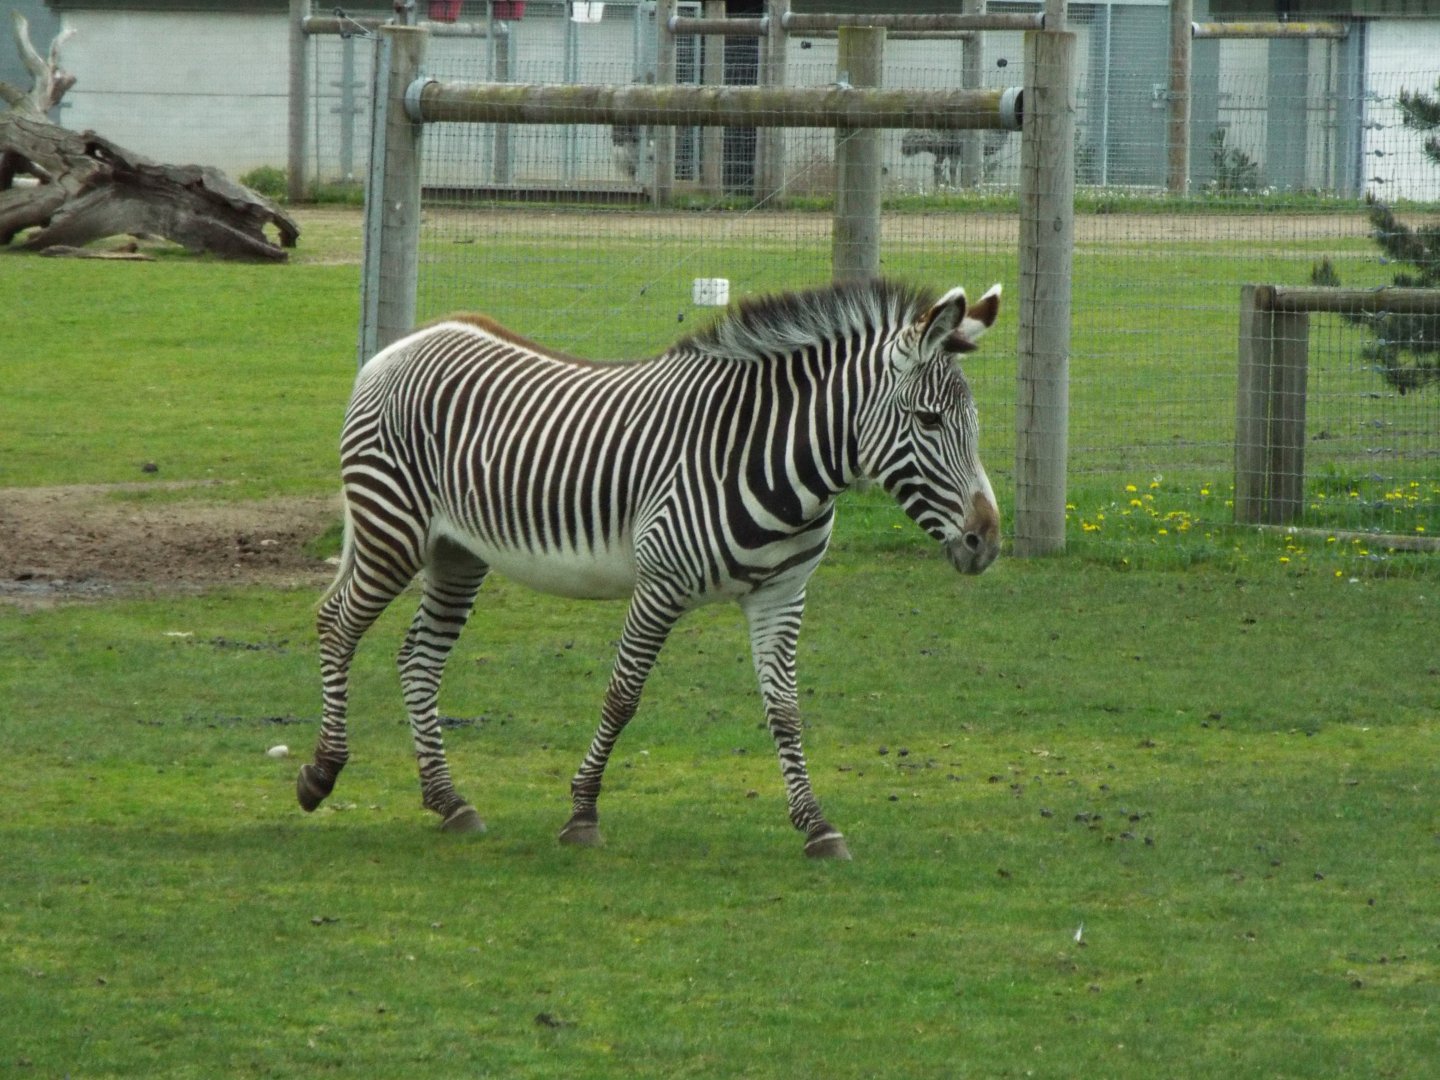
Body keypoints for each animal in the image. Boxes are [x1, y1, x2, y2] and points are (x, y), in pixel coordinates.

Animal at [299, 277, 1002, 859]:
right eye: (928, 420)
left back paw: (448, 801)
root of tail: (406, 342)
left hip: (457, 552)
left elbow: (785, 709)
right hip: (392, 527)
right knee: (337, 623)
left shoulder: (782, 593)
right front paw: (582, 813)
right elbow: (622, 696)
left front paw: (816, 825)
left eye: (973, 422)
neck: (775, 464)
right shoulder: (660, 585)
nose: (985, 542)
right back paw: (320, 773)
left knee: (418, 658)